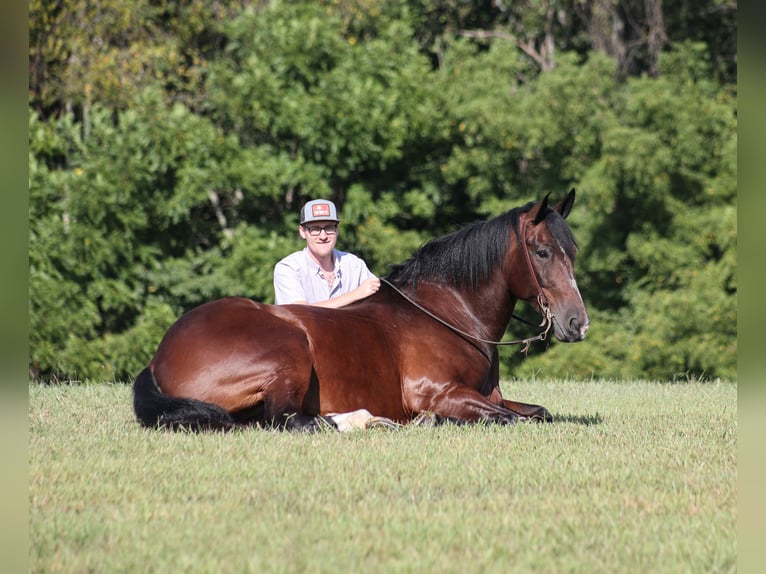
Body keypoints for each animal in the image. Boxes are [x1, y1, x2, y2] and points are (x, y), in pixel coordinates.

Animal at [133, 189, 589, 431]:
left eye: (573, 250)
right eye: (542, 251)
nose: (577, 324)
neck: (451, 314)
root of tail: (159, 357)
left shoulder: (487, 395)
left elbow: (538, 412)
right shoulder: (439, 393)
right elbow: (511, 418)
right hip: (288, 352)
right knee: (291, 419)